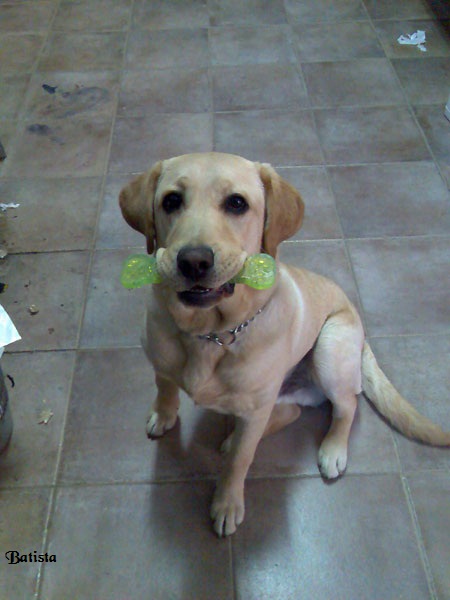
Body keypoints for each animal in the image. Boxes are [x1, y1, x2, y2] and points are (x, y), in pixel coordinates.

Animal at [119, 152, 450, 536]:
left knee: (347, 406)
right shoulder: (160, 361)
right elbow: (165, 387)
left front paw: (227, 504)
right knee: (291, 412)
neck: (213, 332)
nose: (194, 261)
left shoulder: (255, 408)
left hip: (329, 349)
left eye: (237, 203)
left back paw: (331, 449)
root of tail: (361, 330)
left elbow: (241, 461)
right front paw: (164, 414)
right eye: (171, 201)